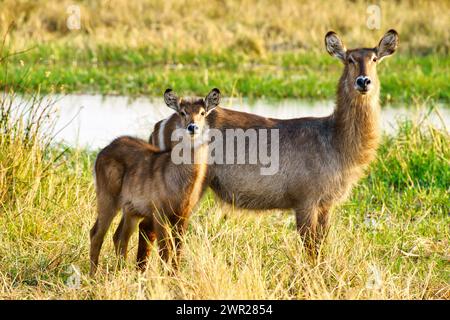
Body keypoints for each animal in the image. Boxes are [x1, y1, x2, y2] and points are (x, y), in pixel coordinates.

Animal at [89, 88, 221, 276]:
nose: (192, 127)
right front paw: (168, 277)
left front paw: (175, 276)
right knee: (96, 234)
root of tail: (104, 150)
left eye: (202, 112)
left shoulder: (183, 215)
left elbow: (178, 249)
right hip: (107, 200)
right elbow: (166, 250)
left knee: (119, 236)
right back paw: (92, 276)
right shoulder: (159, 214)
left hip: (131, 211)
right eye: (182, 112)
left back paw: (121, 272)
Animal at [149, 30, 400, 250]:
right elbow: (310, 249)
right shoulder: (306, 202)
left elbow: (321, 245)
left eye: (374, 58)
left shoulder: (326, 205)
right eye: (349, 59)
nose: (363, 81)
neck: (335, 140)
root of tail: (163, 122)